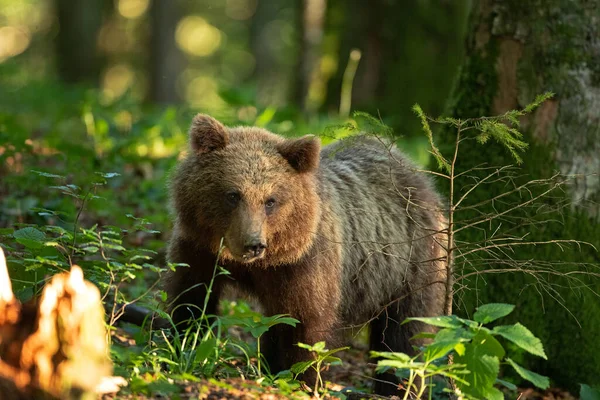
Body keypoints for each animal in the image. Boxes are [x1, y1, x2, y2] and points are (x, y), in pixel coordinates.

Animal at [164, 114, 446, 396]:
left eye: (270, 200)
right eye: (233, 194)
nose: (253, 244)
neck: (257, 264)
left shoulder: (304, 265)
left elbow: (305, 326)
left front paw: (301, 381)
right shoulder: (198, 249)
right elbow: (191, 301)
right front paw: (183, 346)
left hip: (409, 264)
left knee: (404, 335)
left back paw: (397, 387)